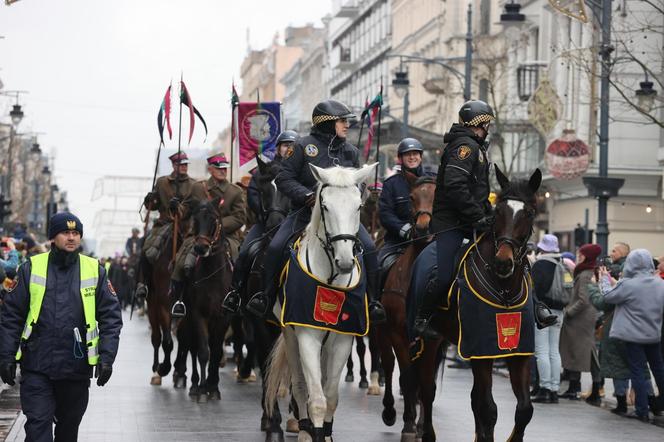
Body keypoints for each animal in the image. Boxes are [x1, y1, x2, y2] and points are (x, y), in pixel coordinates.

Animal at [264, 163, 378, 442]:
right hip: (291, 336)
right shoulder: (307, 336)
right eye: (325, 206)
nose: (345, 262)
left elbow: (332, 396)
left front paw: (325, 433)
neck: (330, 279)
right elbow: (315, 398)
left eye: (358, 206)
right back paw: (304, 429)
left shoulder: (343, 339)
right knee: (300, 385)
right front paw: (312, 432)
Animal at [412, 167, 544, 442]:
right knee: (427, 390)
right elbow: (489, 409)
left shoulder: (517, 352)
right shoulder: (481, 351)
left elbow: (523, 409)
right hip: (431, 342)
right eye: (498, 212)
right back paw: (425, 432)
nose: (503, 262)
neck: (504, 290)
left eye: (528, 213)